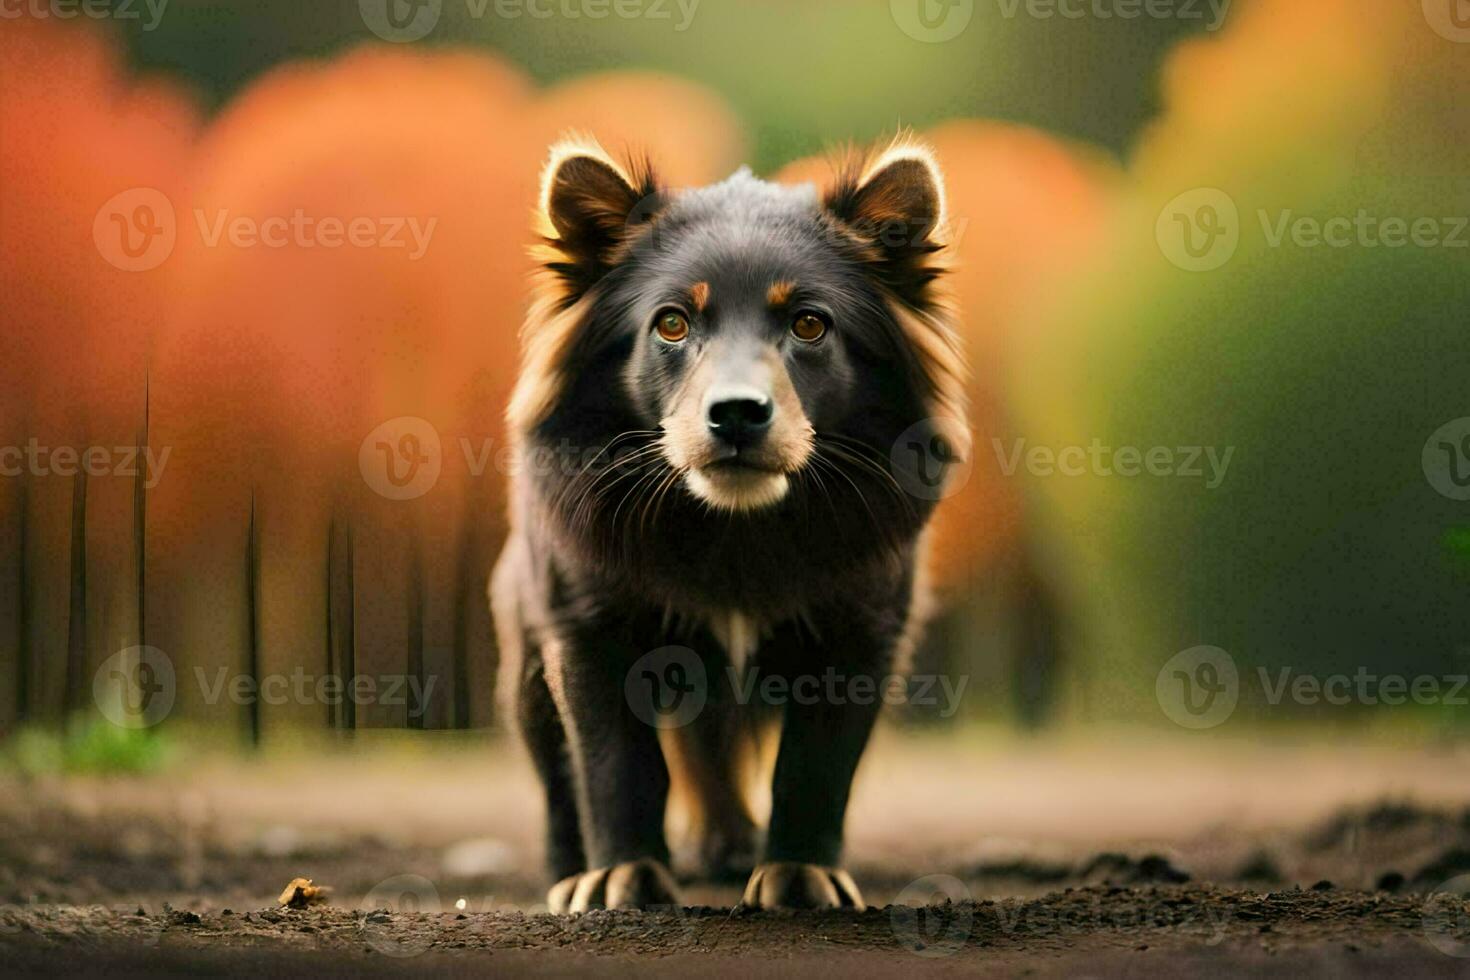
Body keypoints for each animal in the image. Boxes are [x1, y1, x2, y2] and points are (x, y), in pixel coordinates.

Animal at [493, 134, 970, 916]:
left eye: (809, 323)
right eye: (671, 323)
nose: (738, 415)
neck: (736, 527)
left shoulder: (860, 629)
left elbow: (816, 767)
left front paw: (801, 874)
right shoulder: (587, 623)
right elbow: (615, 764)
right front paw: (623, 876)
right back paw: (572, 874)